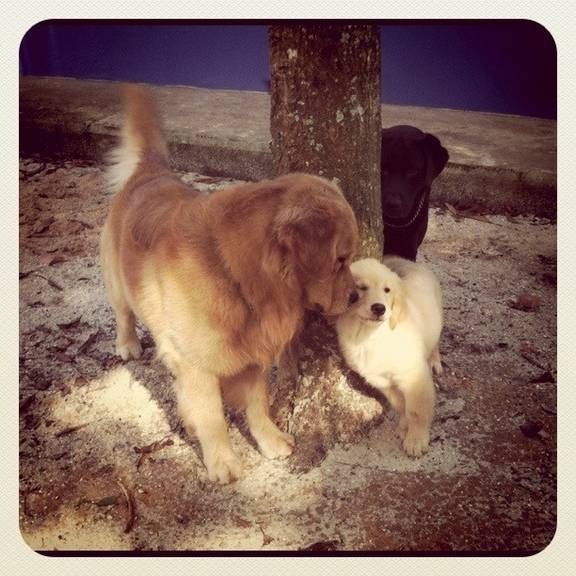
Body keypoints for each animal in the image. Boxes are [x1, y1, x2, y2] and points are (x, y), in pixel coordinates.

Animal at [101, 84, 358, 482]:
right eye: (340, 260)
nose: (357, 296)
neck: (234, 274)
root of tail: (150, 171)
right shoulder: (197, 364)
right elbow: (213, 417)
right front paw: (221, 459)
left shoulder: (252, 357)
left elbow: (257, 406)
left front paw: (269, 440)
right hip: (117, 283)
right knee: (124, 314)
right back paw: (128, 344)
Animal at [336, 256, 444, 454]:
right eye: (361, 287)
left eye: (387, 290)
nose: (379, 308)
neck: (370, 336)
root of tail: (411, 263)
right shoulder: (382, 381)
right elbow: (401, 405)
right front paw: (403, 427)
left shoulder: (414, 375)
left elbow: (415, 410)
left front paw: (416, 440)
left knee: (435, 341)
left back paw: (434, 361)